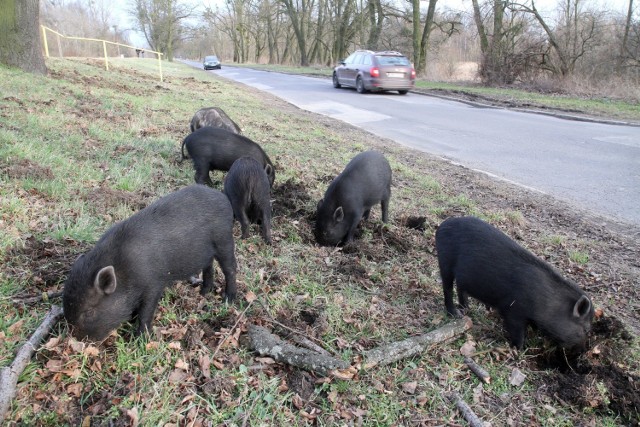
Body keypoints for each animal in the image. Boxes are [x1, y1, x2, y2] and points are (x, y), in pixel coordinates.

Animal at [63, 185, 238, 342]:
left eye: (88, 312)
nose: (79, 340)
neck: (124, 271)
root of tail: (224, 198)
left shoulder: (154, 283)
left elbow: (146, 311)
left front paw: (140, 339)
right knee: (209, 265)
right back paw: (203, 292)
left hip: (224, 239)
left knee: (230, 268)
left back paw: (228, 299)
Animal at [436, 216, 596, 350]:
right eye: (586, 329)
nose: (583, 350)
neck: (549, 305)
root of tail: (442, 225)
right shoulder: (513, 310)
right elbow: (517, 331)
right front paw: (518, 349)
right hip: (445, 262)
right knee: (447, 287)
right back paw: (455, 314)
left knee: (460, 287)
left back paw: (466, 309)